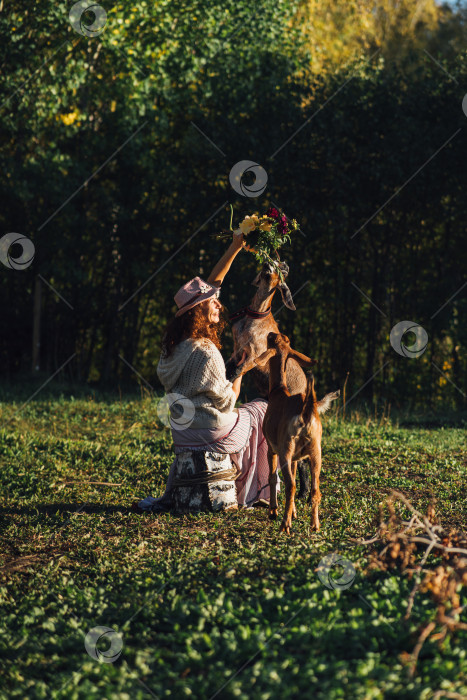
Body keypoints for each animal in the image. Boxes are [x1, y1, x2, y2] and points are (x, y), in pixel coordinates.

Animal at [256, 330, 340, 532]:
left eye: (271, 340)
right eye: (283, 339)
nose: (271, 332)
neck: (279, 391)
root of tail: (307, 410)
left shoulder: (272, 448)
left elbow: (272, 477)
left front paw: (274, 511)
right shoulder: (296, 456)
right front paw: (293, 512)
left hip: (285, 449)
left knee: (290, 485)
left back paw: (284, 525)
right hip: (316, 451)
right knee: (315, 489)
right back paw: (315, 525)